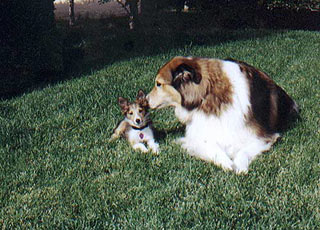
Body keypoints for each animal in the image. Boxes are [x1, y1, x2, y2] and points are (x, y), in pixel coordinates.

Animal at [147, 56, 298, 173]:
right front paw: (226, 162)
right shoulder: (196, 137)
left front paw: (239, 166)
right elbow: (212, 147)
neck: (210, 95)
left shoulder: (263, 136)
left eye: (158, 84)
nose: (146, 100)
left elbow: (244, 150)